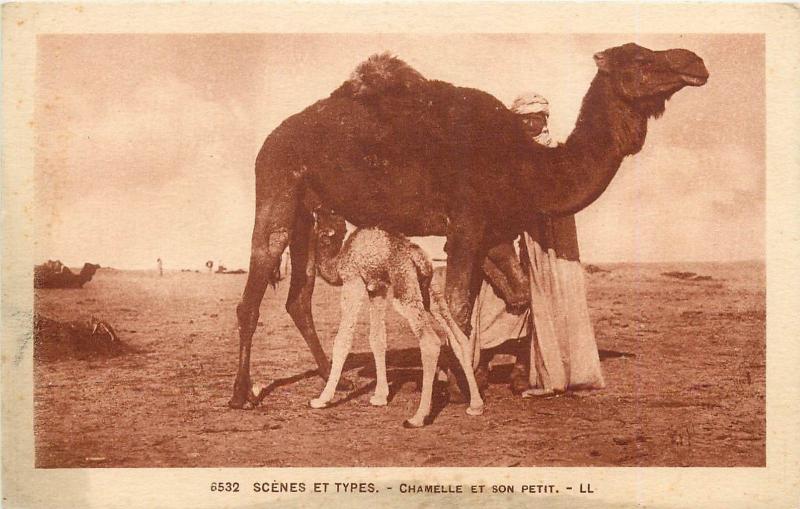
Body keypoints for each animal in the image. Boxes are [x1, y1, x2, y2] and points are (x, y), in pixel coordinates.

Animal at [310, 206, 484, 424]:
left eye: (320, 222)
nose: (314, 210)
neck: (341, 251)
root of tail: (419, 258)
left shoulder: (353, 280)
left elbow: (342, 341)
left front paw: (322, 399)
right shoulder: (377, 288)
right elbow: (377, 339)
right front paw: (380, 396)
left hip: (404, 290)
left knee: (430, 341)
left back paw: (418, 417)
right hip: (429, 291)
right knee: (458, 336)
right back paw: (476, 405)